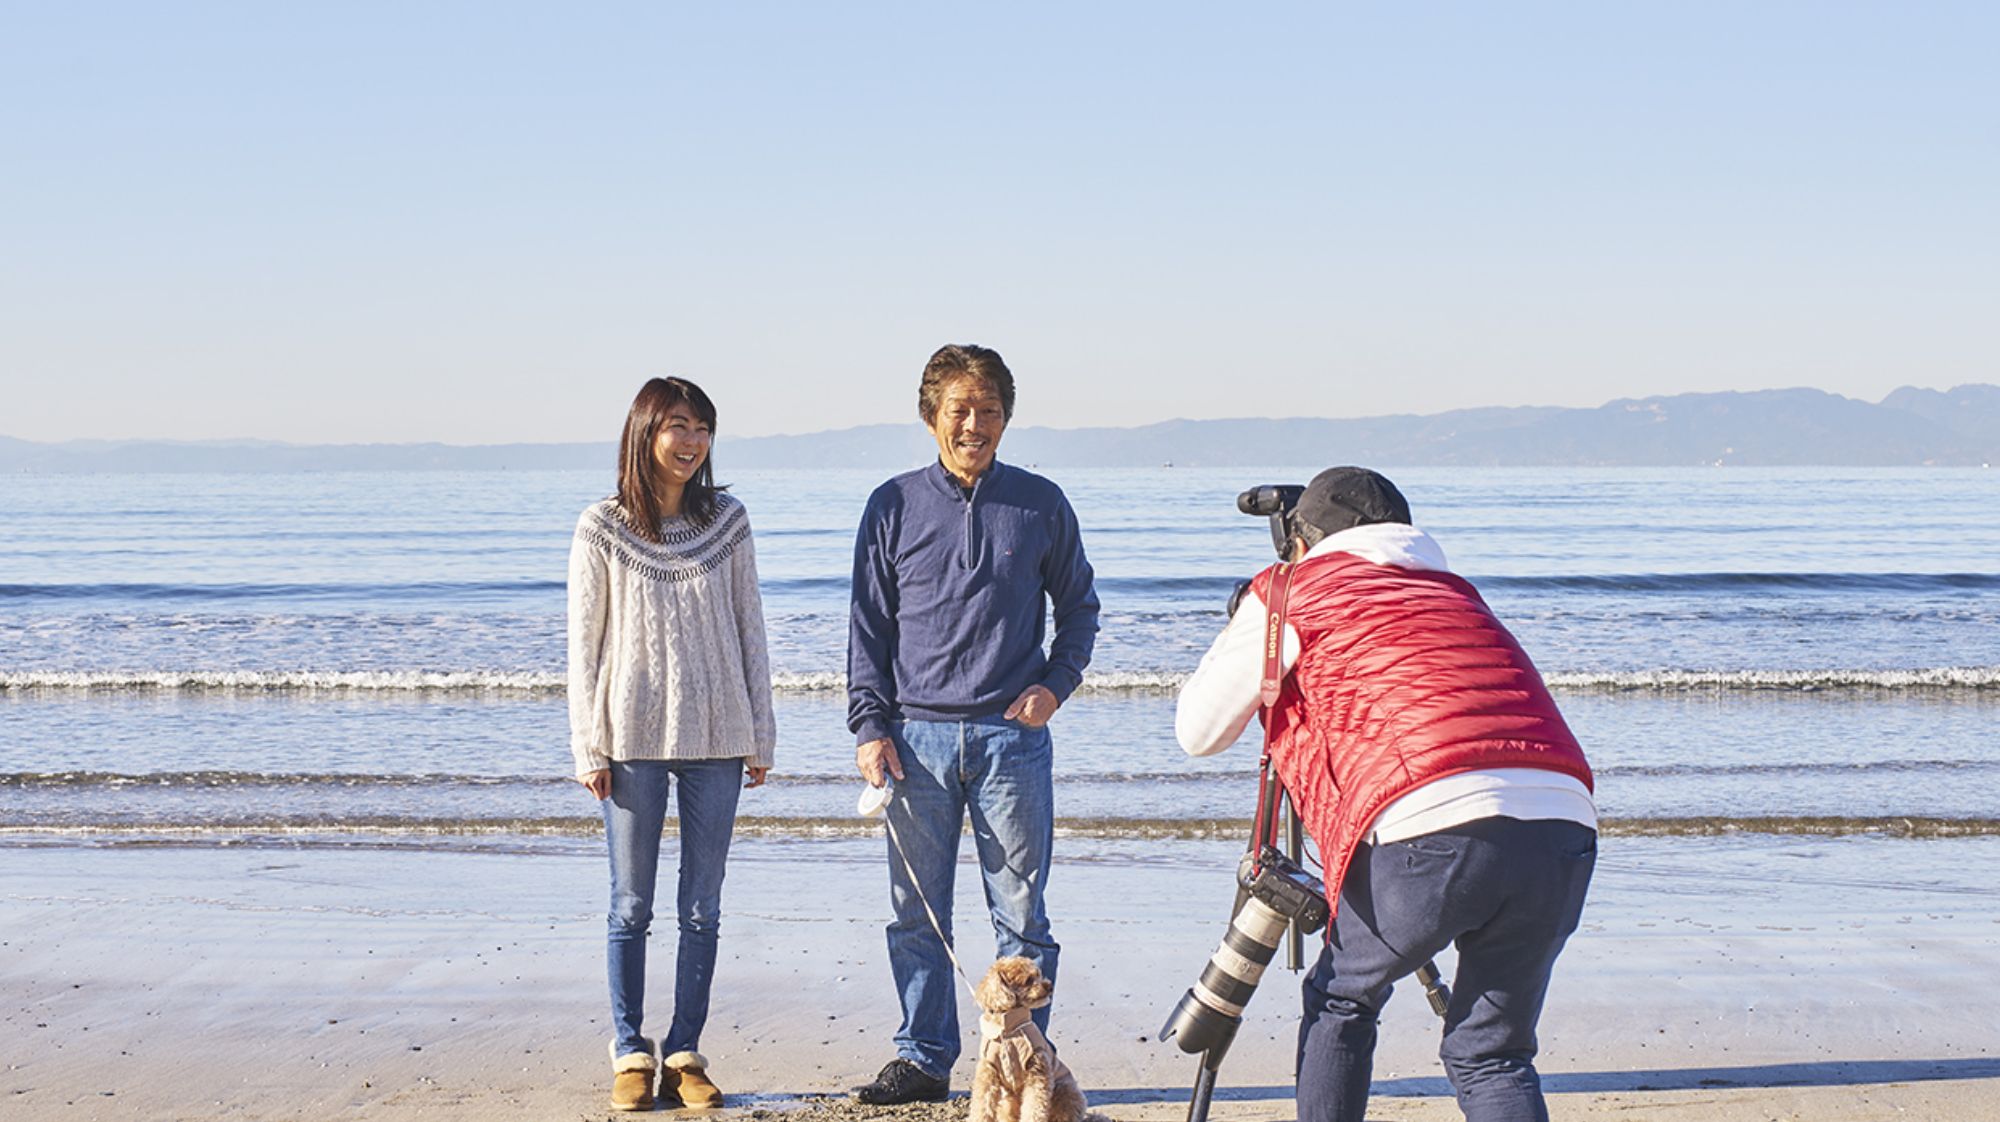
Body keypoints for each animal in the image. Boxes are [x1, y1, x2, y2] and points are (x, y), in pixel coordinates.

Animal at [968, 952, 1096, 1120]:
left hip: (1066, 1090)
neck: (1009, 1031)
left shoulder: (1037, 1071)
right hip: (1008, 1101)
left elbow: (1034, 1107)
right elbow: (982, 1105)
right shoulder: (988, 1072)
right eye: (1028, 980)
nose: (1050, 986)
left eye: (1039, 974)